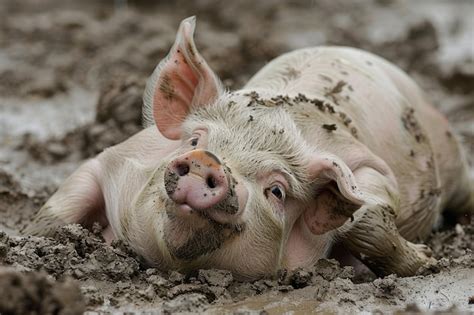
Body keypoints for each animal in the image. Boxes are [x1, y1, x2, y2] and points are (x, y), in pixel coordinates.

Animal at [25, 16, 470, 280]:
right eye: (195, 140)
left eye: (276, 191)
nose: (209, 162)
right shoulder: (114, 161)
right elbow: (61, 206)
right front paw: (29, 244)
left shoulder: (371, 171)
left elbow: (367, 218)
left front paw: (428, 262)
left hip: (452, 156)